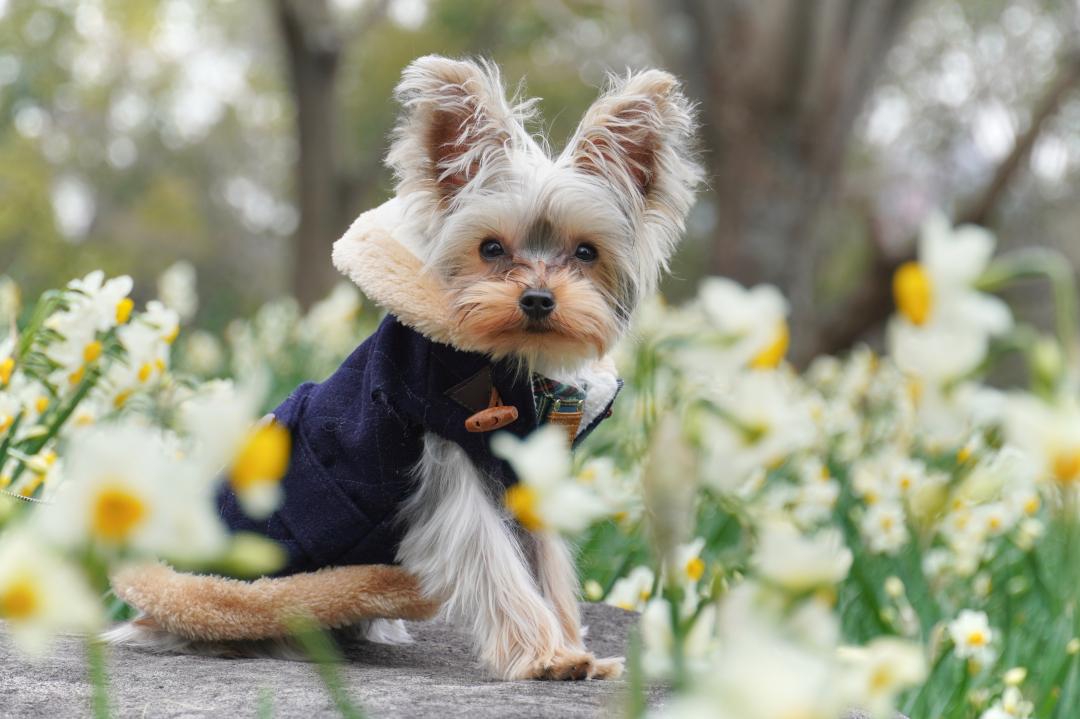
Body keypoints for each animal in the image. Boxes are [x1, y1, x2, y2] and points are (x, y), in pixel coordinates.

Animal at [107, 54, 699, 677]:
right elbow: (494, 560)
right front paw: (544, 655)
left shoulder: (526, 476)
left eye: (586, 252)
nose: (538, 299)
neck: (514, 367)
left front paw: (574, 650)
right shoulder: (447, 459)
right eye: (490, 249)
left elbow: (548, 567)